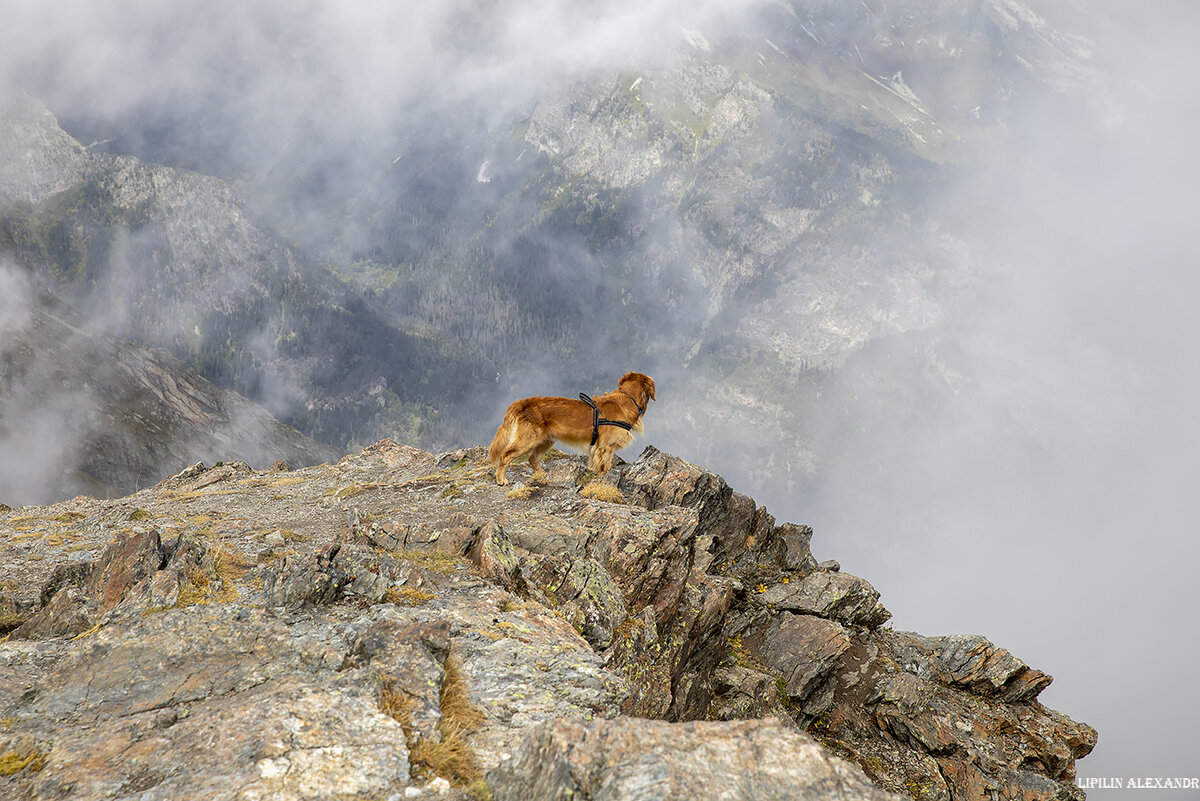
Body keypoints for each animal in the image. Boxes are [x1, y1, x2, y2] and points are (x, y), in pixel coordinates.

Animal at [487, 371, 657, 484]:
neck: (628, 399)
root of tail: (520, 402)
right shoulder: (605, 446)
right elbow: (603, 468)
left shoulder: (602, 447)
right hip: (528, 439)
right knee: (505, 456)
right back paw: (501, 480)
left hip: (546, 440)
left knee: (533, 459)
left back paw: (543, 476)